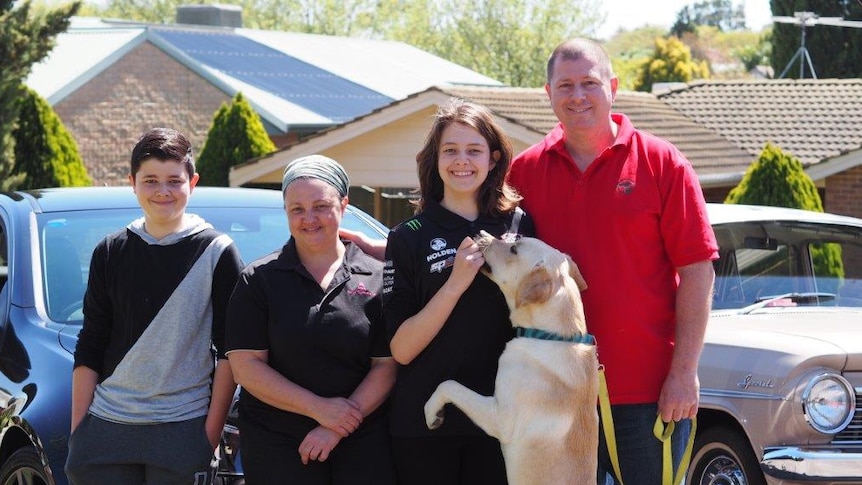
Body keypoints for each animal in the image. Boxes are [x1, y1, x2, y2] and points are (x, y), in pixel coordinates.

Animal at [426, 231, 600, 484]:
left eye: (514, 249)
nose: (480, 233)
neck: (550, 335)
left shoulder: (500, 418)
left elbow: (449, 385)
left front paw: (431, 412)